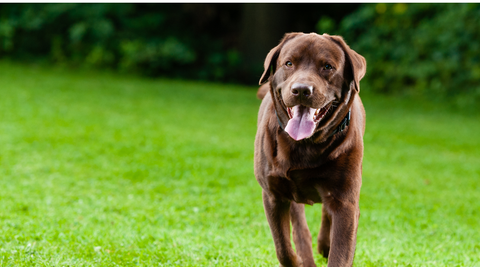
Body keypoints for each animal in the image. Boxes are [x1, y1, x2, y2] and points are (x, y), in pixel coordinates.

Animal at [255, 33, 368, 267]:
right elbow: (283, 248)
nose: (301, 89)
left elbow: (341, 253)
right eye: (289, 63)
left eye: (327, 66)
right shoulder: (272, 194)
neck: (305, 144)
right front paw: (297, 260)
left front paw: (331, 249)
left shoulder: (346, 201)